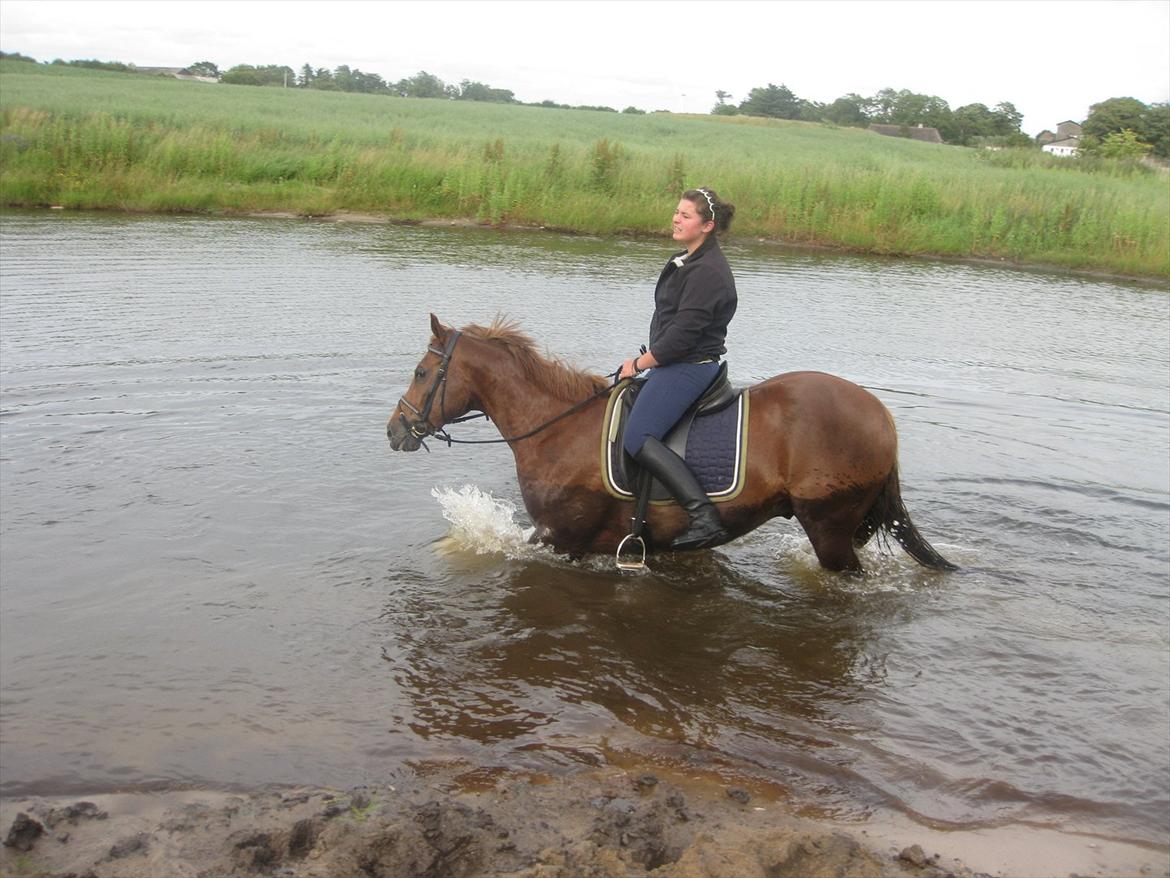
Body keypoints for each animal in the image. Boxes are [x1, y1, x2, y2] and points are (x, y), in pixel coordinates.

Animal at [388, 316, 954, 578]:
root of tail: (879, 414)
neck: (556, 428)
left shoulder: (559, 537)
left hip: (830, 527)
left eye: (422, 372)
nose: (395, 430)